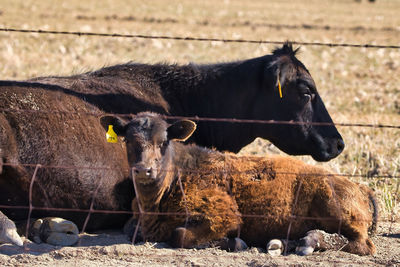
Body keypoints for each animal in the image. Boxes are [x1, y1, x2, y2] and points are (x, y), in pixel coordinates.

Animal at [100, 112, 378, 256]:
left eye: (163, 142)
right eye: (128, 141)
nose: (143, 169)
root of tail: (363, 188)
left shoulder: (223, 215)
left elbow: (180, 235)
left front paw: (233, 242)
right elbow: (129, 228)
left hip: (334, 208)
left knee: (360, 243)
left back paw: (309, 243)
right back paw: (285, 243)